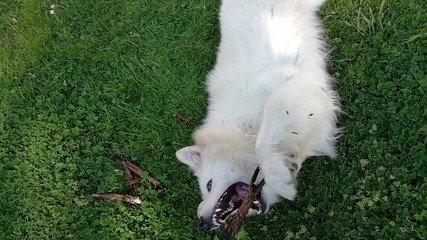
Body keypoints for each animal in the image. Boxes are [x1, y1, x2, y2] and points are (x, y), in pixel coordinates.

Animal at [176, 0, 340, 230]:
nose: (201, 223)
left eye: (208, 185)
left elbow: (262, 143)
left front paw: (282, 181)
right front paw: (287, 167)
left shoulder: (286, 90)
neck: (239, 129)